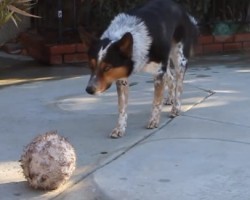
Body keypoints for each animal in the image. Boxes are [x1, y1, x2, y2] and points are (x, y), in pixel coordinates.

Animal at [85, 0, 198, 138]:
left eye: (107, 67)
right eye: (91, 66)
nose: (89, 90)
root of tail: (183, 10)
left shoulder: (159, 72)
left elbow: (156, 101)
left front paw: (154, 120)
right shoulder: (122, 77)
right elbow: (122, 107)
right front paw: (120, 128)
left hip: (179, 58)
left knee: (179, 85)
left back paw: (176, 107)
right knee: (171, 78)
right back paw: (170, 99)